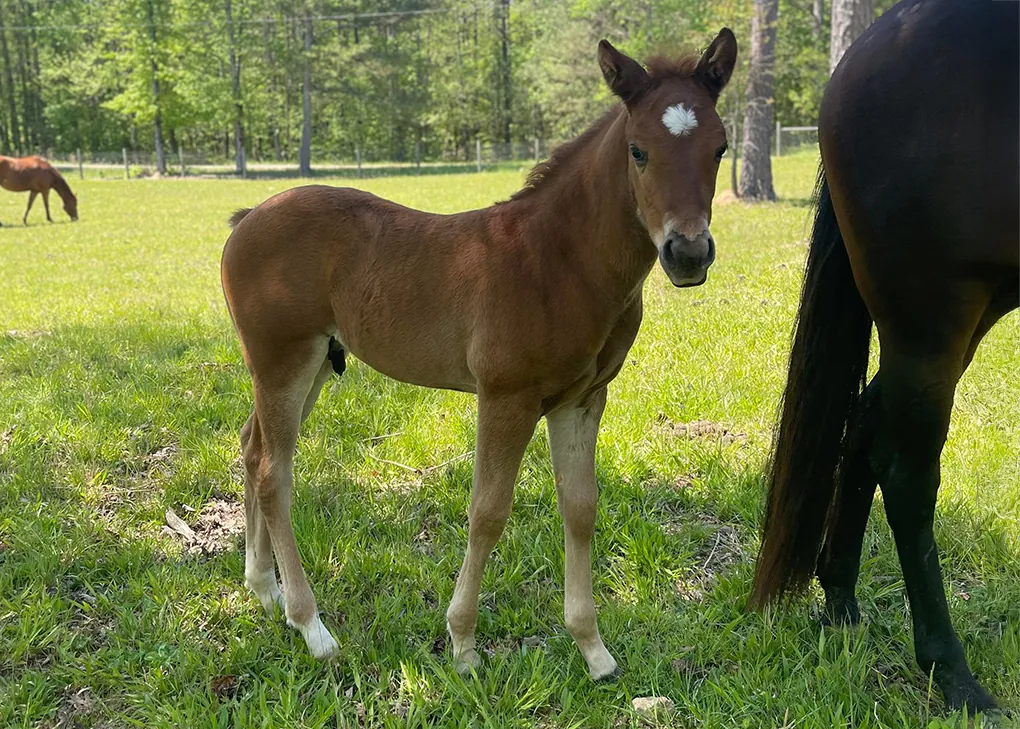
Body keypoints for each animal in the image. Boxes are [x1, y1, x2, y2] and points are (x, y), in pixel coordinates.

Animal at [220, 31, 737, 677]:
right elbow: (487, 512)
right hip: (283, 361)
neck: (556, 262)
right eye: (638, 151)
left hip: (309, 364)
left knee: (251, 447)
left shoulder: (583, 400)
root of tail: (246, 220)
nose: (688, 253)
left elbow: (581, 508)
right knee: (273, 472)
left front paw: (593, 650)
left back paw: (264, 589)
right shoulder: (506, 398)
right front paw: (463, 644)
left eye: (720, 148)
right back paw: (311, 626)